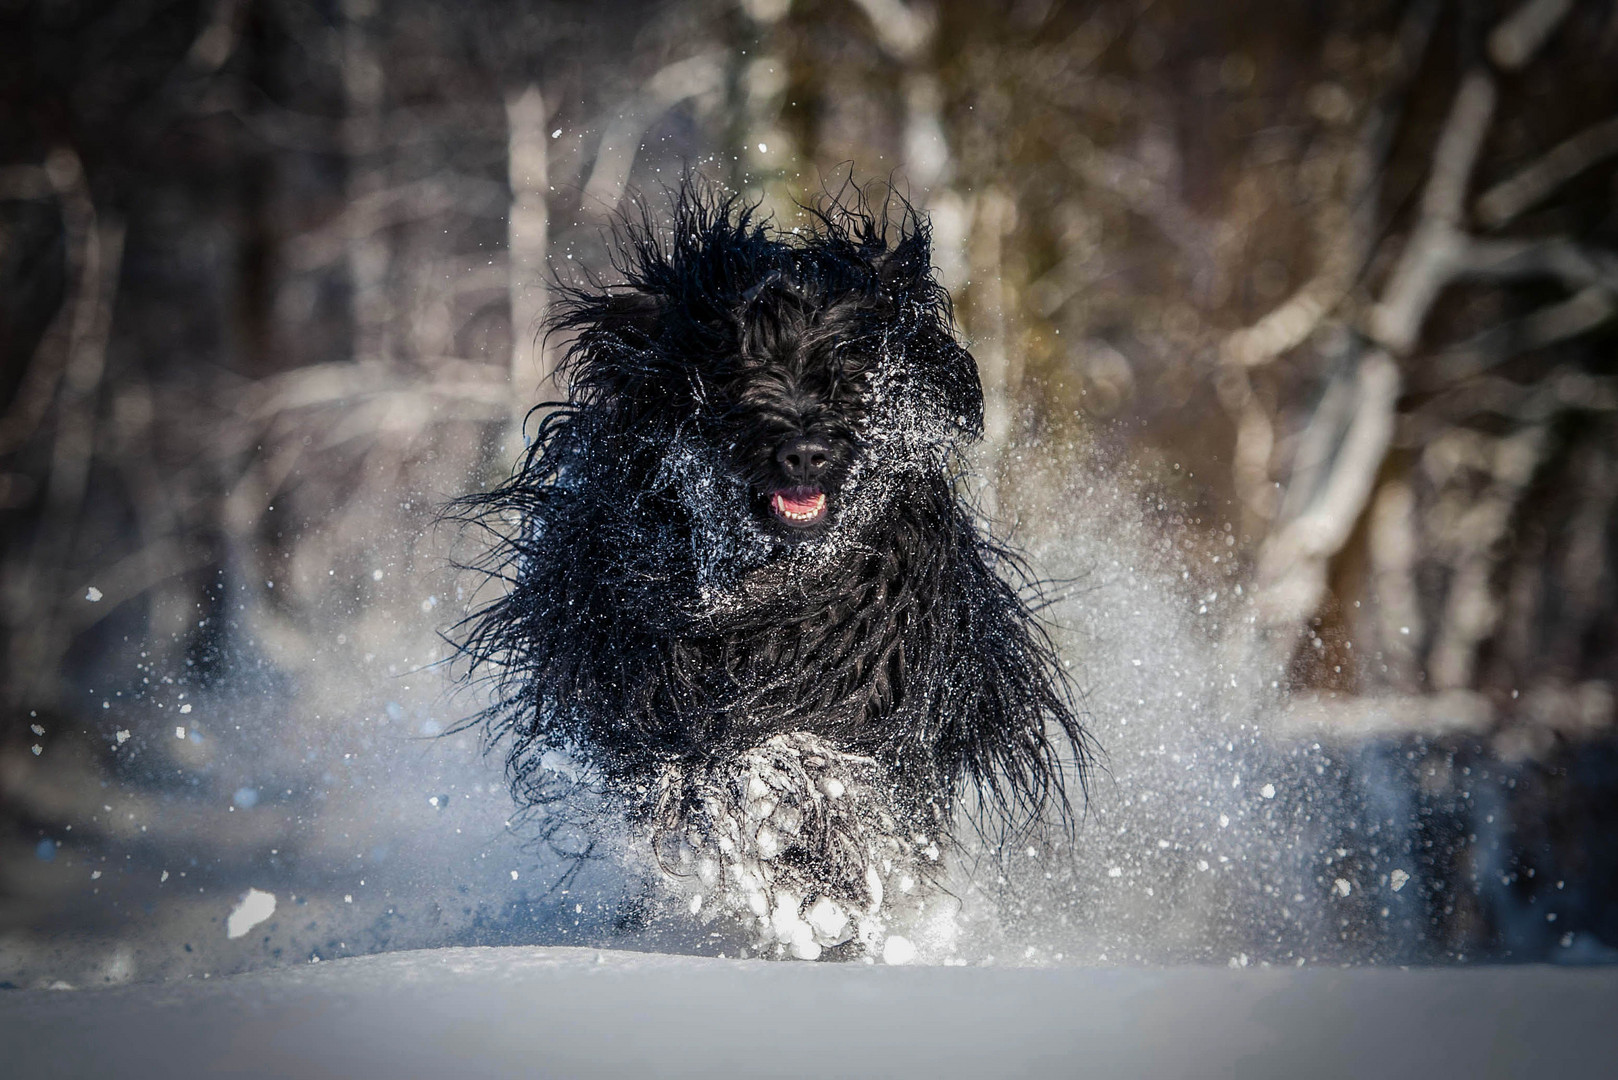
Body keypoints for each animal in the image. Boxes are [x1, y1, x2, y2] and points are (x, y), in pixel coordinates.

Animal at [456, 186, 1087, 965]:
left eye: (847, 363)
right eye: (733, 368)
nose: (805, 453)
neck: (773, 587)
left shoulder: (888, 668)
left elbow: (835, 761)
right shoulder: (641, 680)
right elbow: (740, 762)